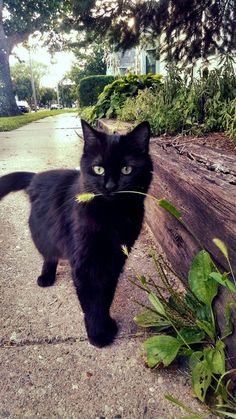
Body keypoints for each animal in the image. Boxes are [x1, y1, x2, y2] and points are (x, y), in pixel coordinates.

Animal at [0, 119, 153, 348]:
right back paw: (46, 276)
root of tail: (36, 177)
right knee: (49, 255)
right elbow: (91, 300)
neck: (112, 216)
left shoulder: (115, 259)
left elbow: (106, 295)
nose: (110, 186)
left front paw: (107, 323)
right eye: (98, 169)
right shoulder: (85, 262)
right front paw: (98, 335)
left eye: (127, 169)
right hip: (43, 234)